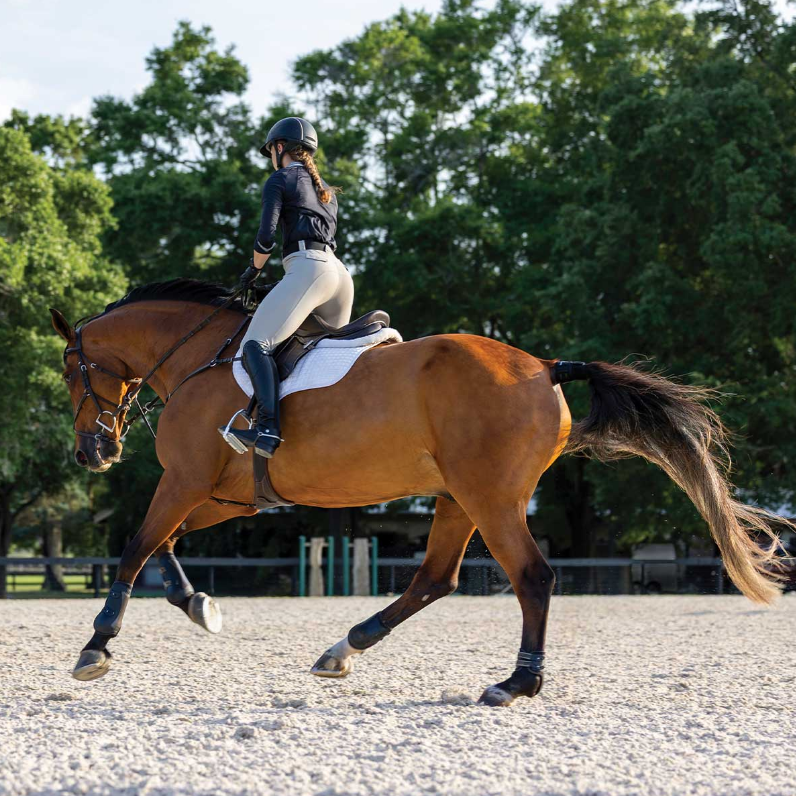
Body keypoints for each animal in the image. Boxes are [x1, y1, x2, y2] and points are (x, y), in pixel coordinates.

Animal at [51, 279, 786, 706]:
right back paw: (343, 649)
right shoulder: (221, 494)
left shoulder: (185, 480)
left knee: (532, 576)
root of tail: (545, 367)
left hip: (489, 498)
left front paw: (96, 648)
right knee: (435, 578)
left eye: (68, 369)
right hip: (457, 497)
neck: (196, 355)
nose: (93, 452)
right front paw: (198, 604)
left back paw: (517, 682)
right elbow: (163, 545)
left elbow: (135, 546)